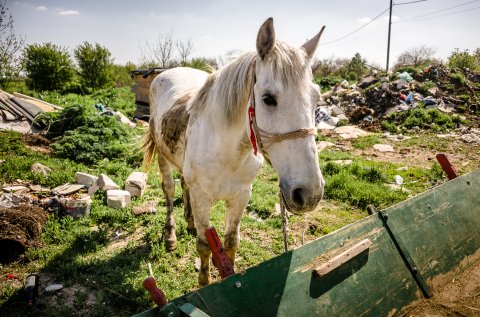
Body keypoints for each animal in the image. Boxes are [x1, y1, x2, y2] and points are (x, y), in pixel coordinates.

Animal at [142, 16, 326, 284]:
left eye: (316, 99)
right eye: (268, 98)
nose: (310, 194)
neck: (228, 153)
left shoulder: (241, 196)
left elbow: (230, 243)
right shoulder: (202, 198)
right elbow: (204, 245)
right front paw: (204, 282)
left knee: (183, 185)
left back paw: (189, 222)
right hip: (163, 158)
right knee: (169, 190)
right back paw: (171, 235)